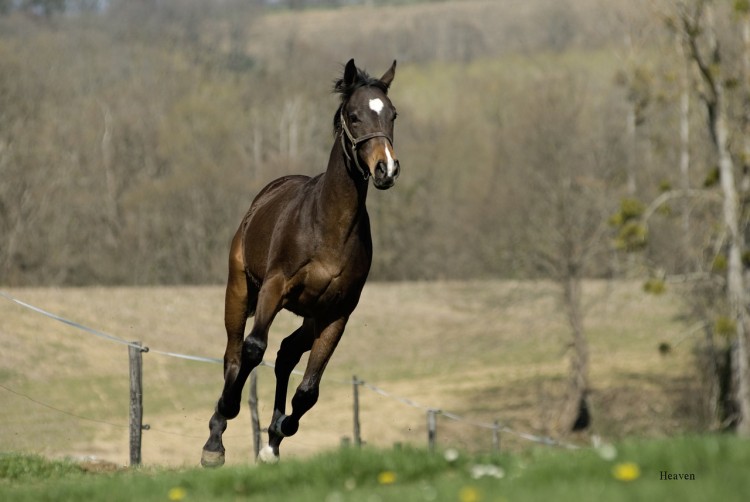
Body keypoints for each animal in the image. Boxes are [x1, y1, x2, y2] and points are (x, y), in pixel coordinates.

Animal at [201, 59, 400, 467]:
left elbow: (308, 390)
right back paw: (216, 438)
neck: (329, 227)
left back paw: (272, 442)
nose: (386, 169)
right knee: (235, 353)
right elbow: (253, 348)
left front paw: (277, 434)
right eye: (354, 116)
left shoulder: (337, 313)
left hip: (309, 316)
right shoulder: (274, 289)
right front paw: (225, 421)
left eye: (392, 114)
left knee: (286, 354)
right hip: (239, 288)